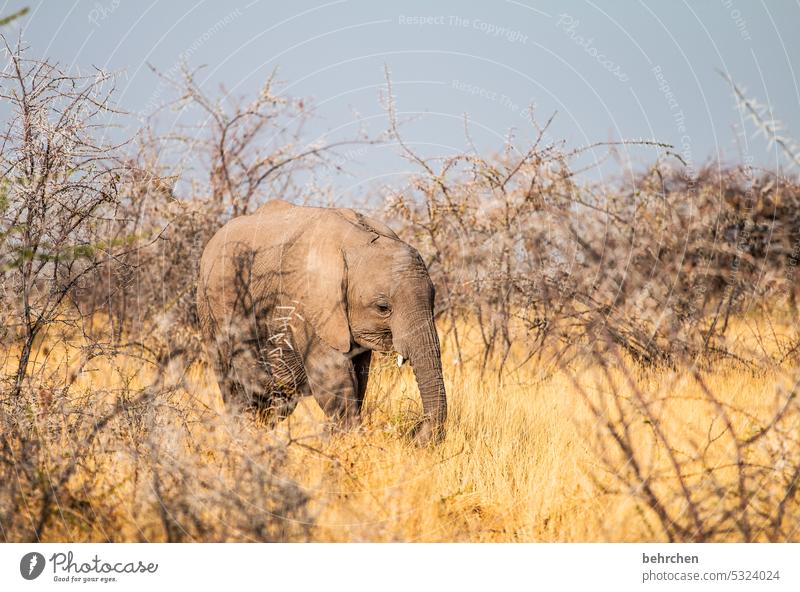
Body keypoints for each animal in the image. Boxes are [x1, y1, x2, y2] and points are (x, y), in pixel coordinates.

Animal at [196, 199, 446, 444]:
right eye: (383, 308)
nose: (415, 432)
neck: (359, 240)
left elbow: (359, 377)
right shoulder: (308, 303)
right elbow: (333, 377)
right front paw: (347, 442)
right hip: (210, 310)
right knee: (233, 386)